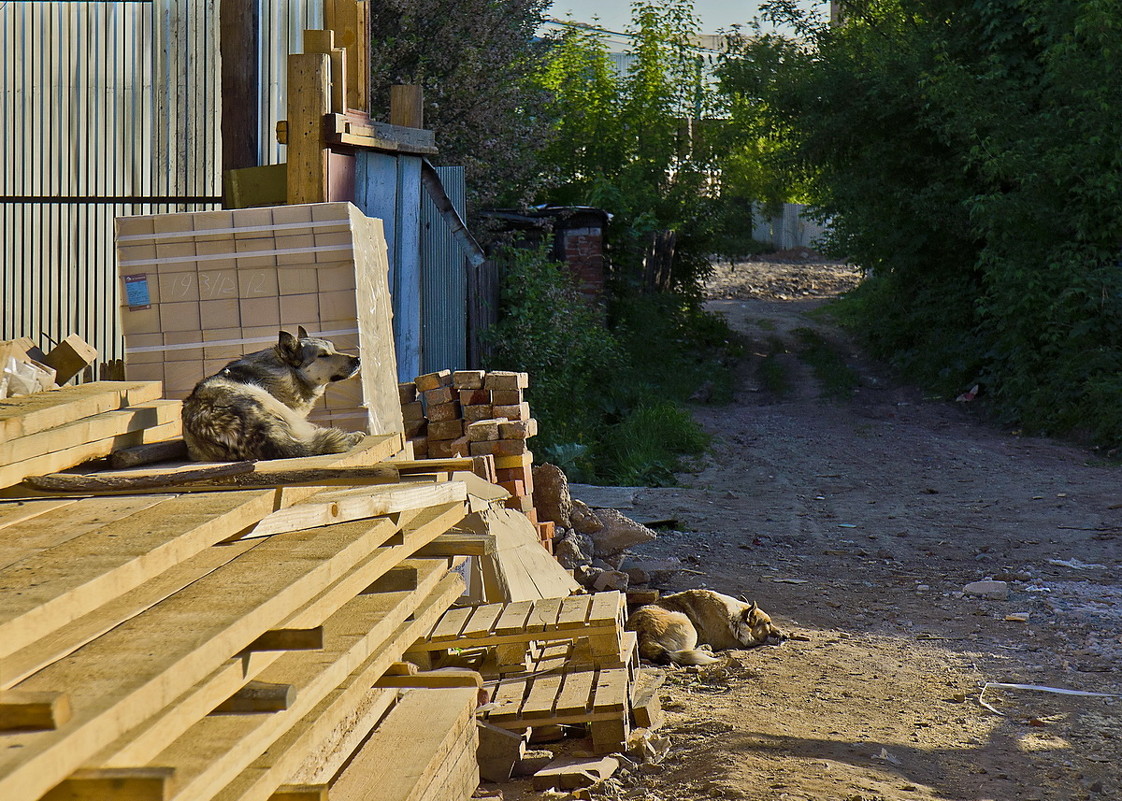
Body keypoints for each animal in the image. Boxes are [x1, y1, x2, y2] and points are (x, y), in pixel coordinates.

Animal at [179, 325, 363, 462]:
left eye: (333, 349)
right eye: (323, 355)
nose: (358, 360)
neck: (289, 370)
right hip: (266, 398)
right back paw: (352, 436)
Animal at [628, 583, 785, 664]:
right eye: (768, 623)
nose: (785, 637)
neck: (734, 617)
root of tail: (644, 636)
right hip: (688, 625)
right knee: (686, 652)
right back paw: (705, 649)